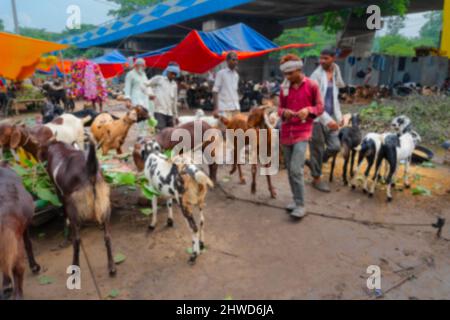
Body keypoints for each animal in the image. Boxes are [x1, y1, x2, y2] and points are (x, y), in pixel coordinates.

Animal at [38, 141, 116, 276]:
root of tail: (90, 171)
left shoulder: (60, 193)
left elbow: (64, 215)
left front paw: (65, 238)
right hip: (105, 203)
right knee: (107, 236)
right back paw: (111, 266)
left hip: (73, 208)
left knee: (77, 240)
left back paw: (75, 265)